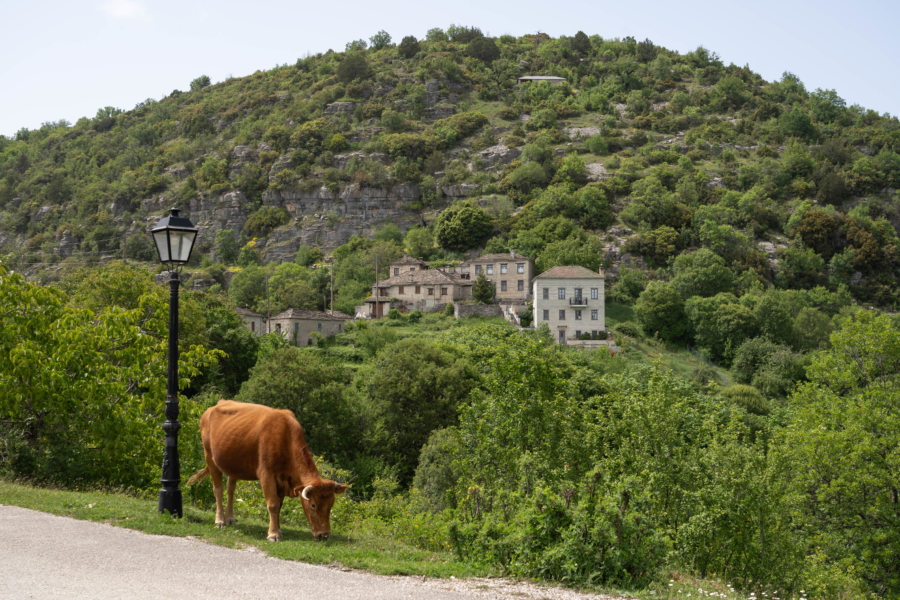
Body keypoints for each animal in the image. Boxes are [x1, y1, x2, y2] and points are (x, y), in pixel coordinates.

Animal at [187, 400, 348, 540]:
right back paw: (220, 520)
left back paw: (230, 518)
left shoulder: (283, 480)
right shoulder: (266, 475)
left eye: (331, 504)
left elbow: (279, 505)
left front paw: (278, 530)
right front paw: (273, 534)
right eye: (313, 505)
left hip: (234, 464)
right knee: (218, 489)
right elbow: (272, 504)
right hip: (209, 457)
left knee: (230, 489)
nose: (324, 535)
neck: (285, 436)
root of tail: (214, 406)